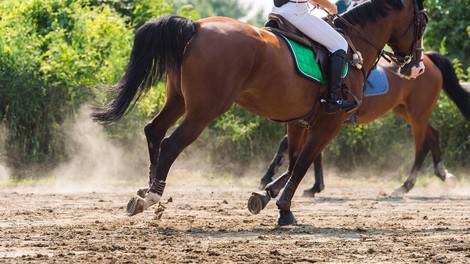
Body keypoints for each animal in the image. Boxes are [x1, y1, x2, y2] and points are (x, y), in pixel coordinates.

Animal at [92, 0, 430, 227]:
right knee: (171, 143)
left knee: (154, 130)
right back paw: (153, 196)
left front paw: (274, 201)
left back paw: (145, 190)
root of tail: (197, 27)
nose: (416, 67)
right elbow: (303, 164)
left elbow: (293, 163)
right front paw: (283, 208)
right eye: (423, 21)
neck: (354, 46)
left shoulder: (298, 122)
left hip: (178, 99)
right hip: (205, 109)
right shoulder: (329, 124)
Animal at [258, 51, 470, 197]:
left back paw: (405, 186)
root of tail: (427, 59)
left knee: (421, 145)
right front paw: (315, 187)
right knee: (433, 134)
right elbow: (313, 152)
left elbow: (288, 144)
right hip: (406, 111)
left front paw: (266, 178)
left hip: (418, 114)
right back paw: (444, 175)